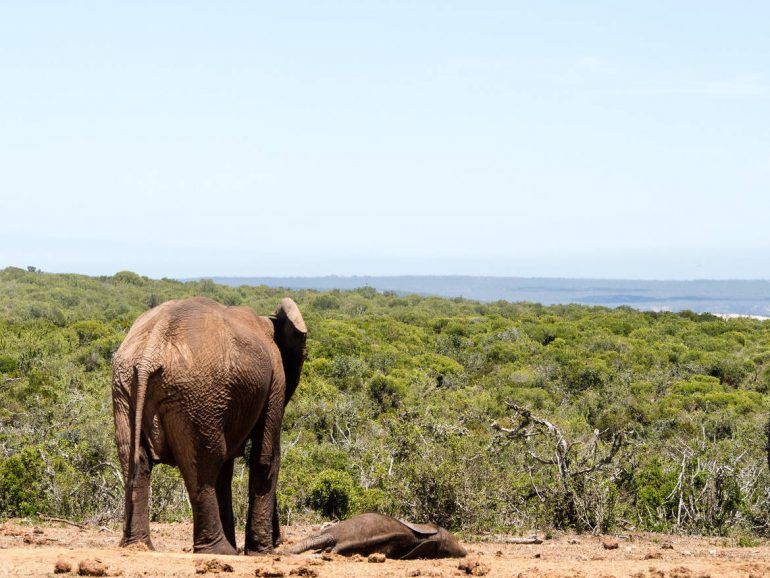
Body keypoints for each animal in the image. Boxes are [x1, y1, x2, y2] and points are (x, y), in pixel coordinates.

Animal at [112, 296, 304, 552]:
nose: (279, 540)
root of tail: (149, 354)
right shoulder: (276, 380)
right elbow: (265, 457)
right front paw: (262, 553)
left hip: (126, 388)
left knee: (134, 459)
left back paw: (138, 546)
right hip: (197, 393)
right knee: (206, 463)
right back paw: (221, 551)